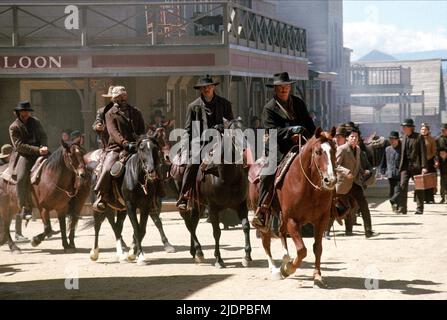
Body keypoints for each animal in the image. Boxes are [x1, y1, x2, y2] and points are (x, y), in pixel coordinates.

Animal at [181, 117, 252, 268]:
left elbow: (246, 226)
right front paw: (219, 259)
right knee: (190, 224)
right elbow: (216, 232)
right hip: (194, 202)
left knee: (193, 223)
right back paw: (199, 252)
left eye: (245, 129)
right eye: (232, 133)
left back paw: (195, 251)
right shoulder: (213, 208)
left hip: (200, 205)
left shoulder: (241, 205)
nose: (245, 148)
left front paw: (247, 256)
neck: (228, 177)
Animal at [250, 127, 338, 288]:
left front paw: (317, 276)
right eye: (318, 152)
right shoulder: (292, 220)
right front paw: (287, 269)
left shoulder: (321, 220)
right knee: (266, 239)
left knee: (280, 232)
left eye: (334, 150)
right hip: (264, 214)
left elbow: (318, 248)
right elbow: (302, 250)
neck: (309, 187)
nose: (330, 180)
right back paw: (275, 269)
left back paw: (285, 257)